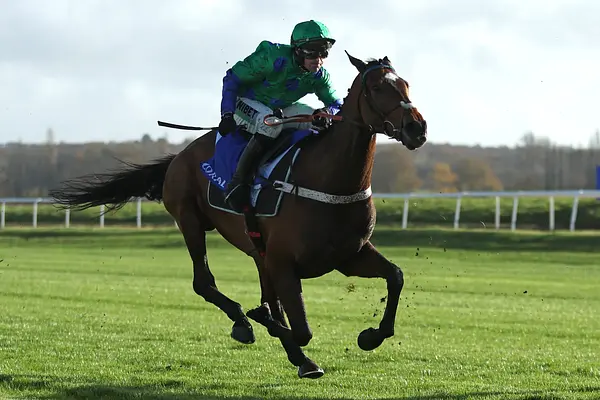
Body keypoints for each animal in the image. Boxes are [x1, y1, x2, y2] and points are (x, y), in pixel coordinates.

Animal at [49, 51, 428, 379]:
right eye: (377, 88)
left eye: (407, 84)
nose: (417, 128)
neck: (327, 181)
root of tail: (179, 156)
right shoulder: (284, 262)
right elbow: (299, 328)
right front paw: (264, 323)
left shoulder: (348, 256)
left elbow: (395, 276)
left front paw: (370, 335)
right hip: (190, 219)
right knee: (204, 282)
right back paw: (243, 322)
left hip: (257, 249)